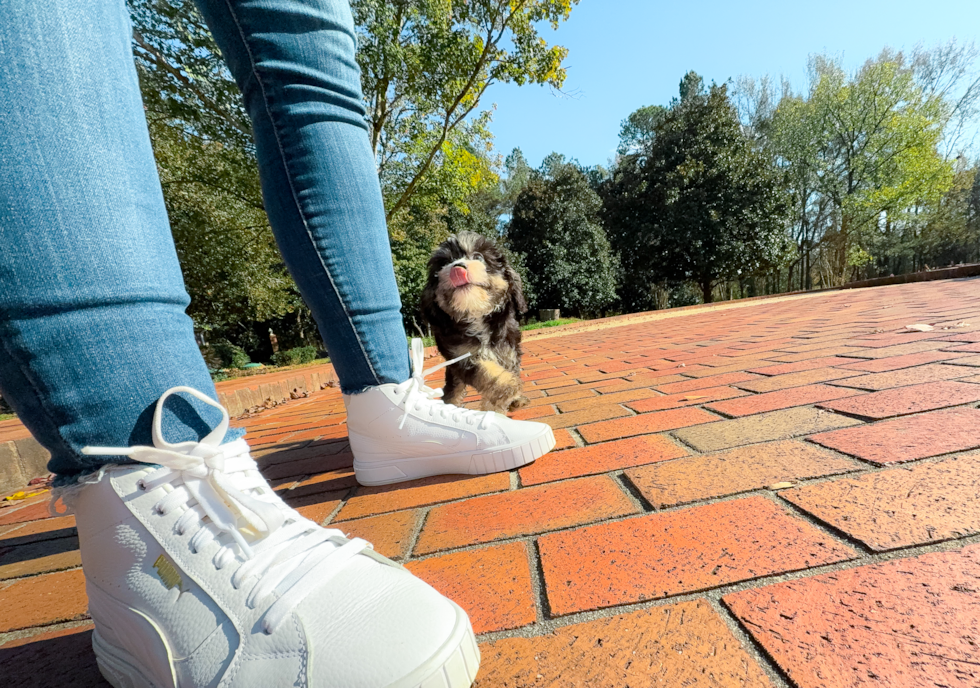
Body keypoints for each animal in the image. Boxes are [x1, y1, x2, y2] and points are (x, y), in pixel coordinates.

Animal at [420, 231, 528, 414]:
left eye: (478, 256)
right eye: (444, 263)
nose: (457, 268)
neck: (476, 316)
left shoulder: (508, 351)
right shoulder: (461, 356)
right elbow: (486, 372)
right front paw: (507, 386)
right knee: (454, 387)